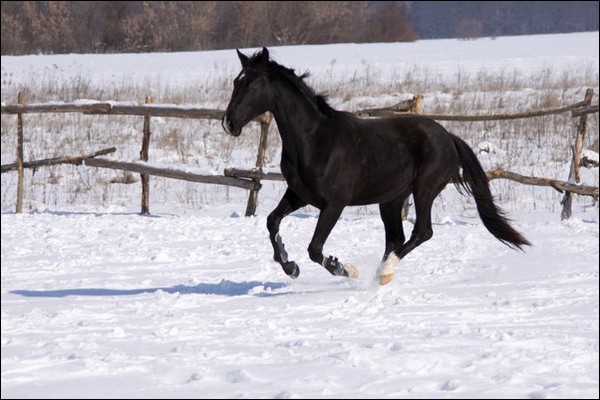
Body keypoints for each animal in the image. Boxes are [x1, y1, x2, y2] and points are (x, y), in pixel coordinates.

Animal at [221, 47, 528, 284]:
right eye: (237, 82)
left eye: (253, 84)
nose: (229, 124)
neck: (315, 139)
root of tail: (448, 137)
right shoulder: (299, 194)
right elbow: (272, 221)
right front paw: (289, 264)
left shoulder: (334, 204)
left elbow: (315, 248)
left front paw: (346, 269)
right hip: (391, 200)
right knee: (396, 238)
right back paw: (381, 274)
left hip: (424, 189)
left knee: (421, 232)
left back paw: (383, 272)